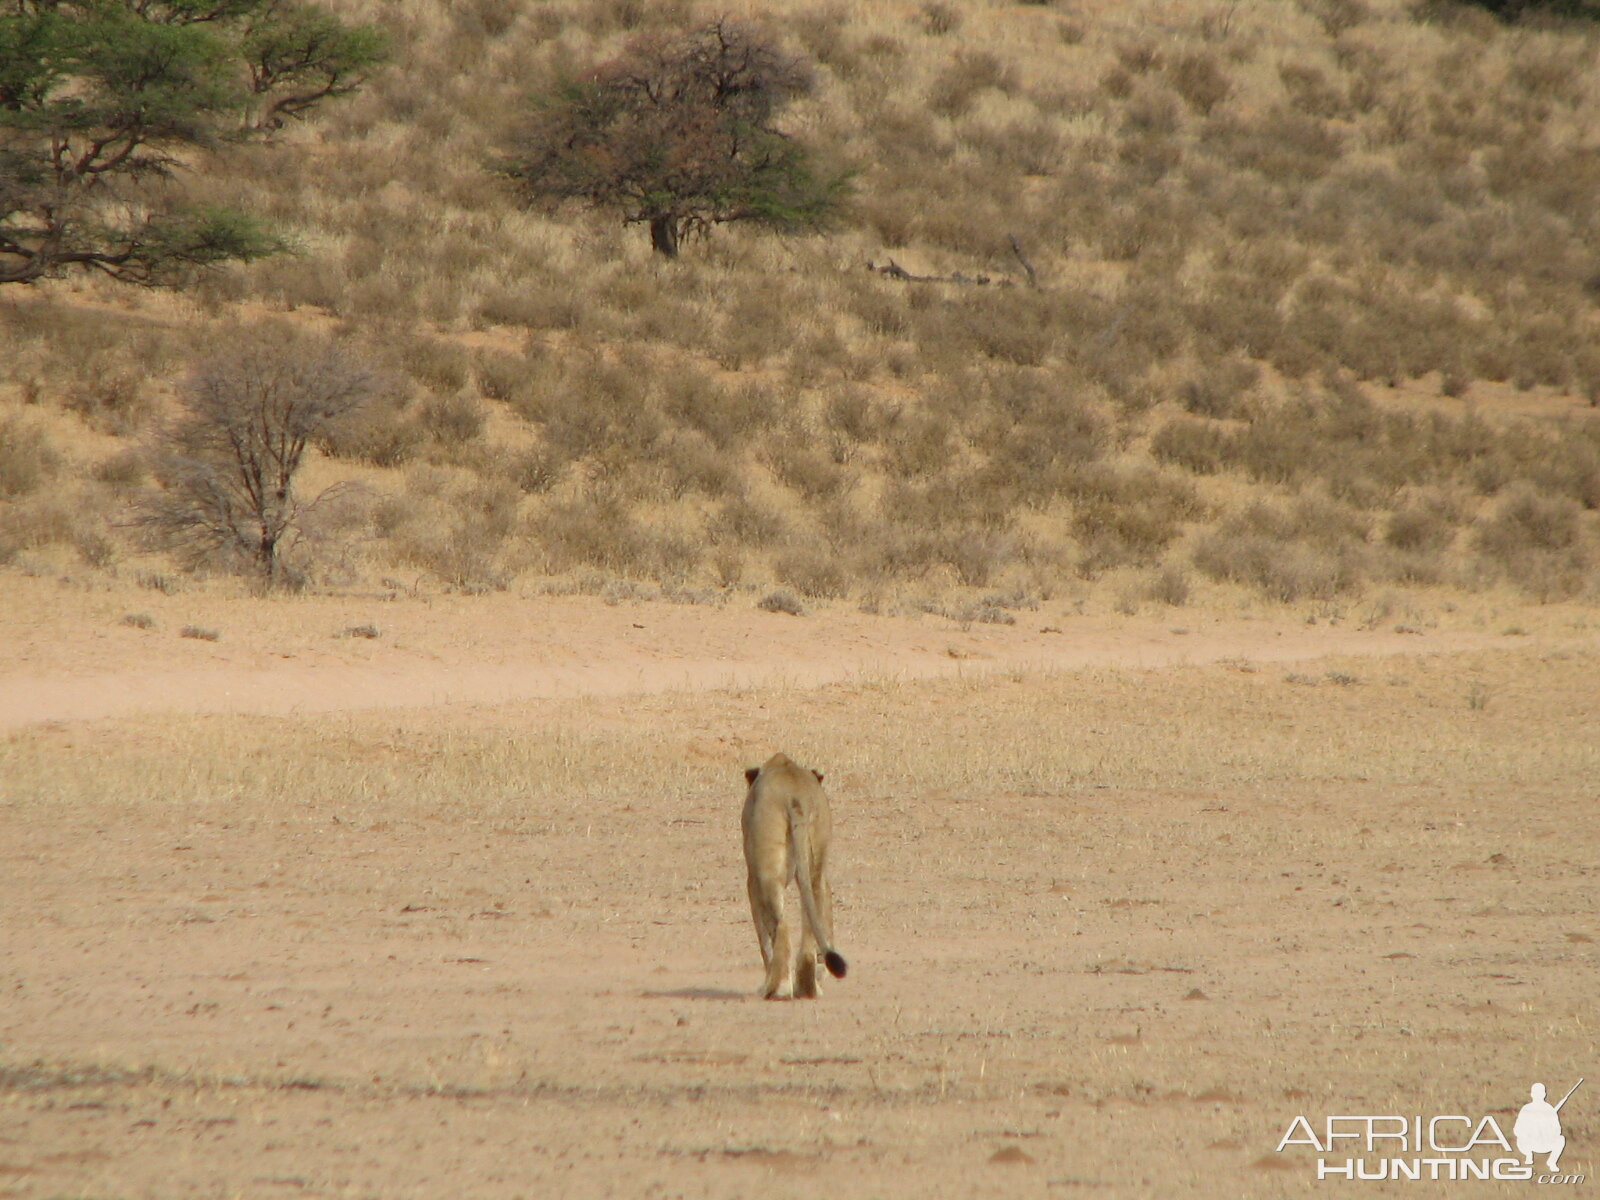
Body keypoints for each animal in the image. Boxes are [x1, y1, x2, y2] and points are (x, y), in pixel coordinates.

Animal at [742, 755, 851, 998]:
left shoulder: (752, 881)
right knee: (810, 924)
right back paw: (808, 988)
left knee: (781, 928)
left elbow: (765, 940)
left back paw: (776, 989)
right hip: (815, 863)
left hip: (766, 870)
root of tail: (795, 795)